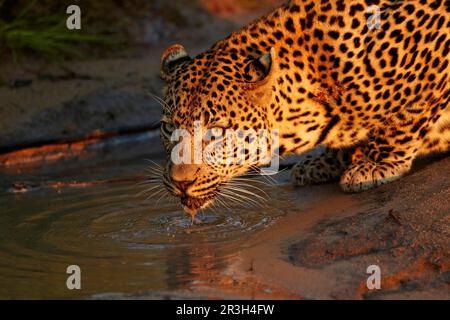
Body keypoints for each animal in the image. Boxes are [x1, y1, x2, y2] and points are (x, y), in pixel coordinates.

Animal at [156, 0, 448, 216]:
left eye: (215, 132)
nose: (181, 183)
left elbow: (403, 118)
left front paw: (376, 163)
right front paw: (329, 161)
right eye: (169, 127)